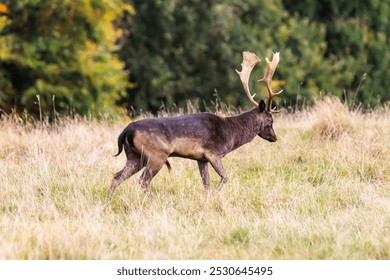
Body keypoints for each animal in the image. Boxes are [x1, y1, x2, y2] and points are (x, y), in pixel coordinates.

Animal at [108, 51, 282, 198]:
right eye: (270, 121)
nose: (275, 138)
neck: (231, 134)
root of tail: (126, 131)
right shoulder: (213, 152)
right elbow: (224, 177)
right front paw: (213, 196)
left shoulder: (201, 158)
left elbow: (206, 182)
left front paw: (207, 198)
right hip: (156, 154)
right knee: (143, 180)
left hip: (135, 156)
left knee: (117, 176)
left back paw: (108, 201)